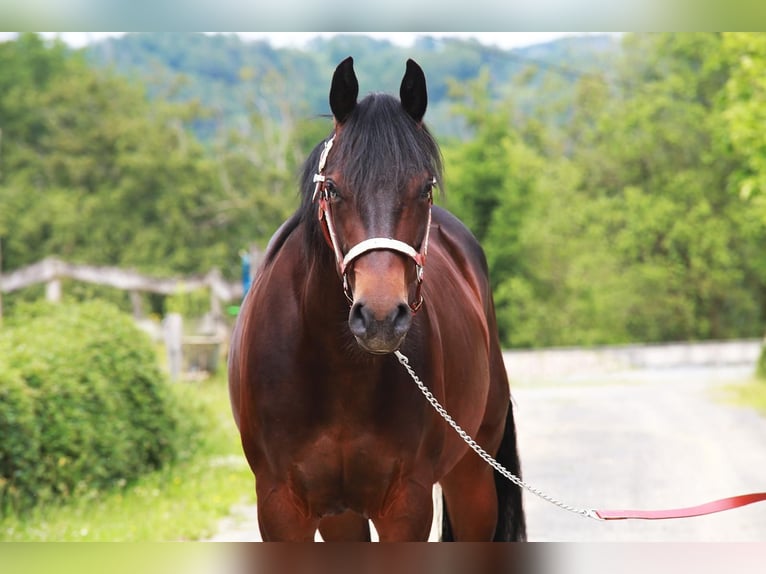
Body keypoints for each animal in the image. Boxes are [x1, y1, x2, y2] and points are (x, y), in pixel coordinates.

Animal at [228, 56, 526, 542]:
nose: (382, 317)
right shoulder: (281, 507)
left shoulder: (406, 505)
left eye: (425, 189)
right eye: (332, 188)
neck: (337, 371)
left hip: (472, 474)